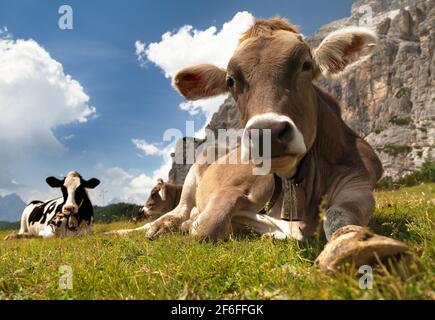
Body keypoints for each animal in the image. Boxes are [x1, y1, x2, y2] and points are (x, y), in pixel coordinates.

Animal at [111, 17, 412, 272]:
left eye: (306, 65)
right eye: (231, 80)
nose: (267, 133)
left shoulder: (359, 183)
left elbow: (338, 214)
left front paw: (349, 243)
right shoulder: (230, 192)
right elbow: (206, 226)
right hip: (192, 178)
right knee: (175, 214)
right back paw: (145, 229)